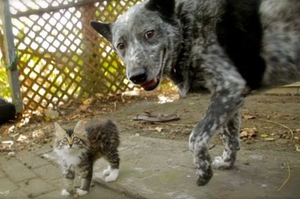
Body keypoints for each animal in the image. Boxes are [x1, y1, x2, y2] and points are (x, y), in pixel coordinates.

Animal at [89, 0, 300, 186]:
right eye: (120, 45)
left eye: (149, 34)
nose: (136, 77)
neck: (187, 26)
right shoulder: (231, 97)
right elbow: (229, 136)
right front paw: (226, 162)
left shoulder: (229, 87)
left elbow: (195, 137)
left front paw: (204, 172)